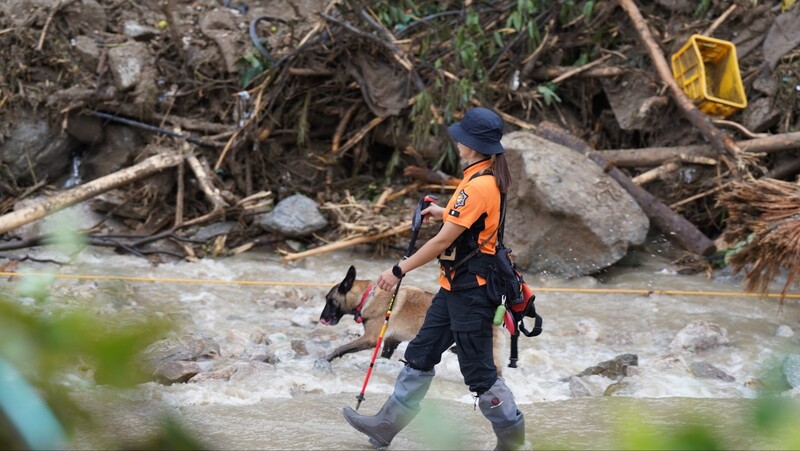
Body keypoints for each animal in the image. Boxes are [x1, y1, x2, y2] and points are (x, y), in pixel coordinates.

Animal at [318, 268, 506, 374]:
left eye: (329, 300)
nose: (321, 319)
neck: (367, 297)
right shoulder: (392, 341)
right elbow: (385, 356)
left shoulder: (371, 339)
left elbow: (342, 348)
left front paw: (326, 359)